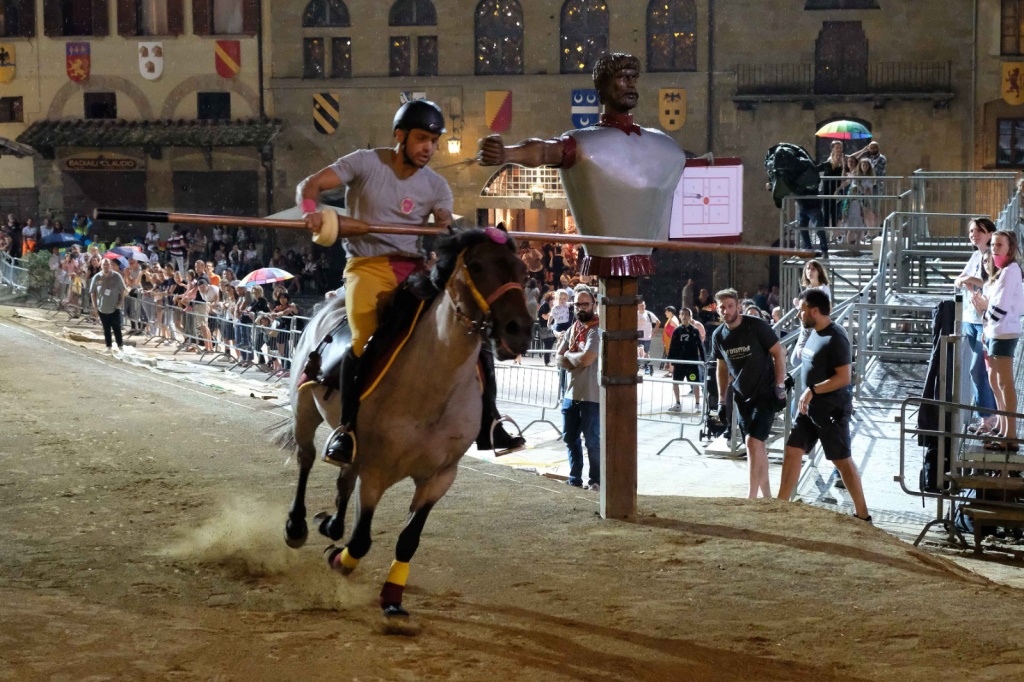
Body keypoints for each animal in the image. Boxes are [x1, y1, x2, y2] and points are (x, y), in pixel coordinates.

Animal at [276, 227, 532, 614]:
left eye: (522, 270)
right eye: (476, 265)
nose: (519, 330)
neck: (432, 387)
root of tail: (328, 304)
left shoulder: (440, 477)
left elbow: (409, 539)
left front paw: (393, 596)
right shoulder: (377, 473)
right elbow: (361, 539)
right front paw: (338, 559)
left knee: (344, 473)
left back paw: (332, 524)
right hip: (304, 410)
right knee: (306, 458)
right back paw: (297, 526)